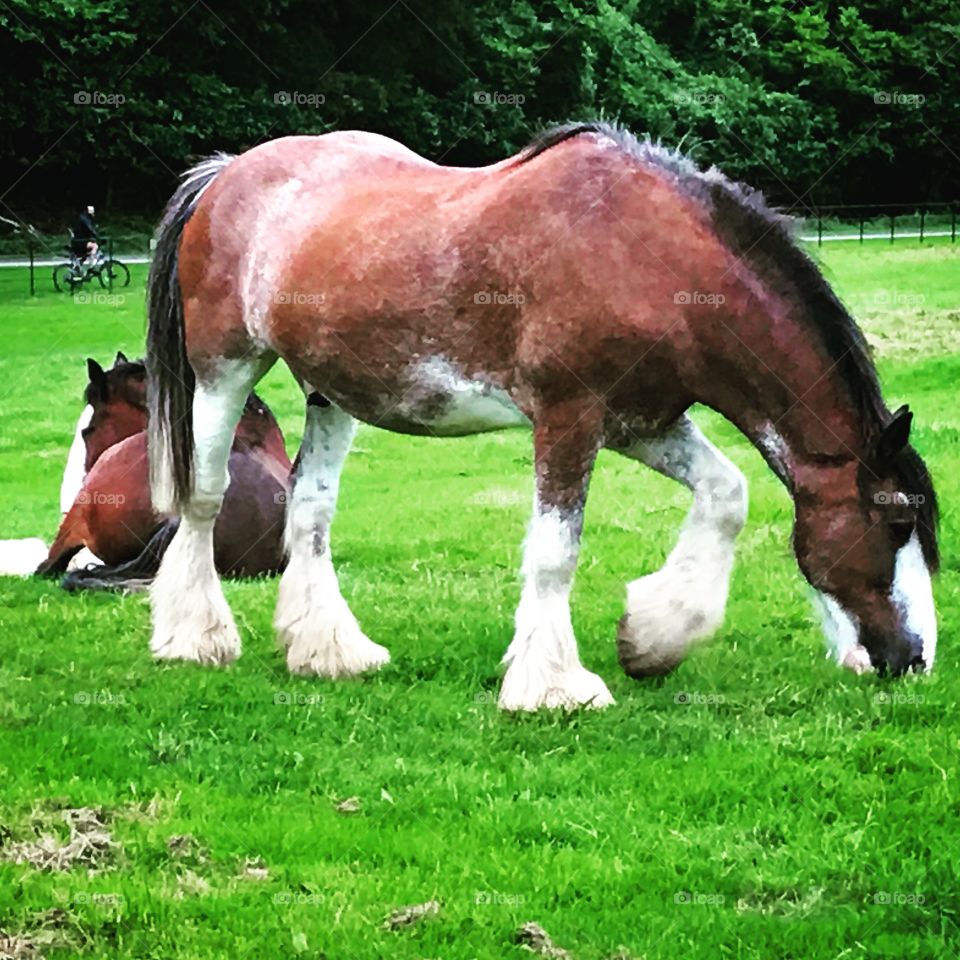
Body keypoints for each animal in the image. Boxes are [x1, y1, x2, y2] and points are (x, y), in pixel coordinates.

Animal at [141, 121, 938, 710]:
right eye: (897, 521)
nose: (916, 659)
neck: (652, 259)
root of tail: (227, 172)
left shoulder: (643, 423)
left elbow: (728, 493)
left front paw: (651, 639)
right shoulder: (569, 417)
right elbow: (557, 552)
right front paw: (553, 687)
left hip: (330, 394)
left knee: (309, 510)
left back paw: (330, 652)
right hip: (225, 370)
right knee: (204, 499)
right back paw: (194, 638)